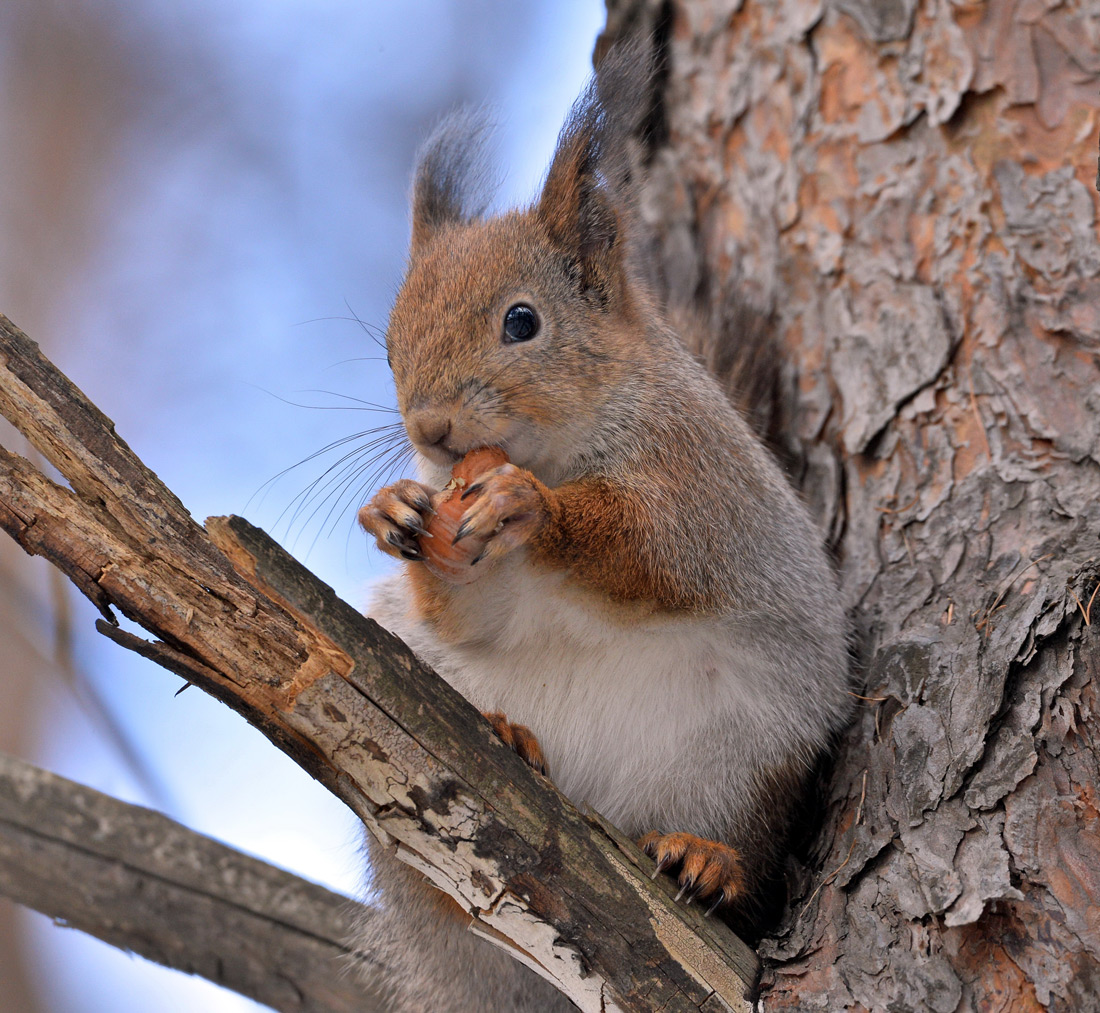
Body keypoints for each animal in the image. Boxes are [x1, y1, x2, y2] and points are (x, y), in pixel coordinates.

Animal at [352, 41, 849, 1011]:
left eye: (522, 321)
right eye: (389, 345)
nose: (429, 429)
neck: (556, 449)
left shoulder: (704, 488)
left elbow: (653, 550)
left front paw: (531, 507)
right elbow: (470, 616)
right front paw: (394, 508)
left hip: (751, 744)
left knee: (745, 855)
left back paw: (709, 859)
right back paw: (509, 745)